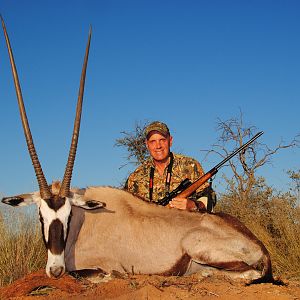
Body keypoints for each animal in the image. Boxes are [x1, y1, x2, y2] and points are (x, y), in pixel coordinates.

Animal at [0, 16, 274, 282]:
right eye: (41, 216)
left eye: (68, 215)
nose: (55, 269)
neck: (84, 222)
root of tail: (261, 248)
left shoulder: (101, 264)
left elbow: (88, 274)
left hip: (197, 246)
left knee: (251, 272)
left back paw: (203, 274)